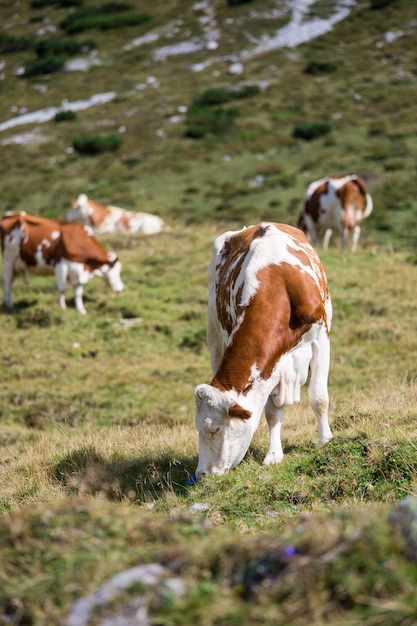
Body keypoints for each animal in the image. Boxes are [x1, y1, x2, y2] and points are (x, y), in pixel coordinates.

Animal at [192, 222, 332, 476]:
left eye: (213, 429)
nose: (201, 473)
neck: (280, 286)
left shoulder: (320, 339)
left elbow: (319, 397)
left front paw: (325, 440)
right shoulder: (268, 367)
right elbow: (272, 412)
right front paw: (274, 455)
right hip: (214, 334)